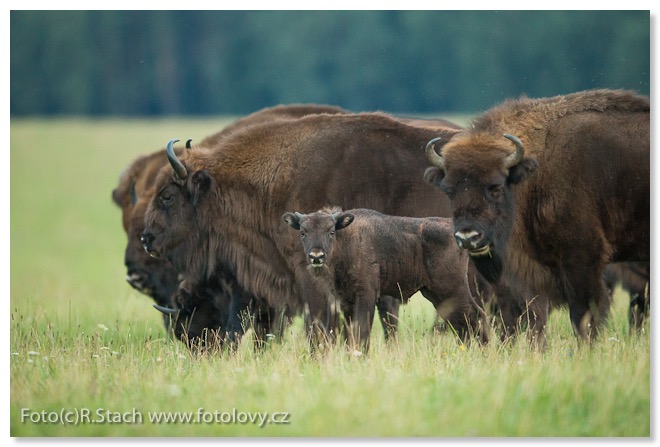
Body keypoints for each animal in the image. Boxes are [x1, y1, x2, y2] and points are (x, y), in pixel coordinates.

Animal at [284, 208, 490, 352]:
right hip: (437, 295)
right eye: (303, 232)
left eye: (331, 231)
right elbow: (350, 334)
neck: (348, 240)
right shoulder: (346, 302)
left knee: (476, 315)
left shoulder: (366, 296)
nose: (316, 256)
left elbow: (362, 332)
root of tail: (455, 232)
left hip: (453, 290)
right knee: (461, 322)